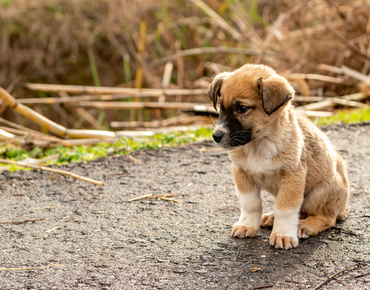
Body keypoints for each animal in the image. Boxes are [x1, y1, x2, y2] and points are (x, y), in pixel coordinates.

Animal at [208, 63, 350, 249]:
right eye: (221, 107)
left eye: (242, 108)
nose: (216, 136)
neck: (260, 144)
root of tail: (343, 209)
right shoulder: (242, 174)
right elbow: (250, 204)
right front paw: (247, 225)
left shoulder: (292, 176)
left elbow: (286, 208)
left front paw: (283, 235)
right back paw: (271, 217)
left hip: (321, 191)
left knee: (326, 218)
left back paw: (304, 226)